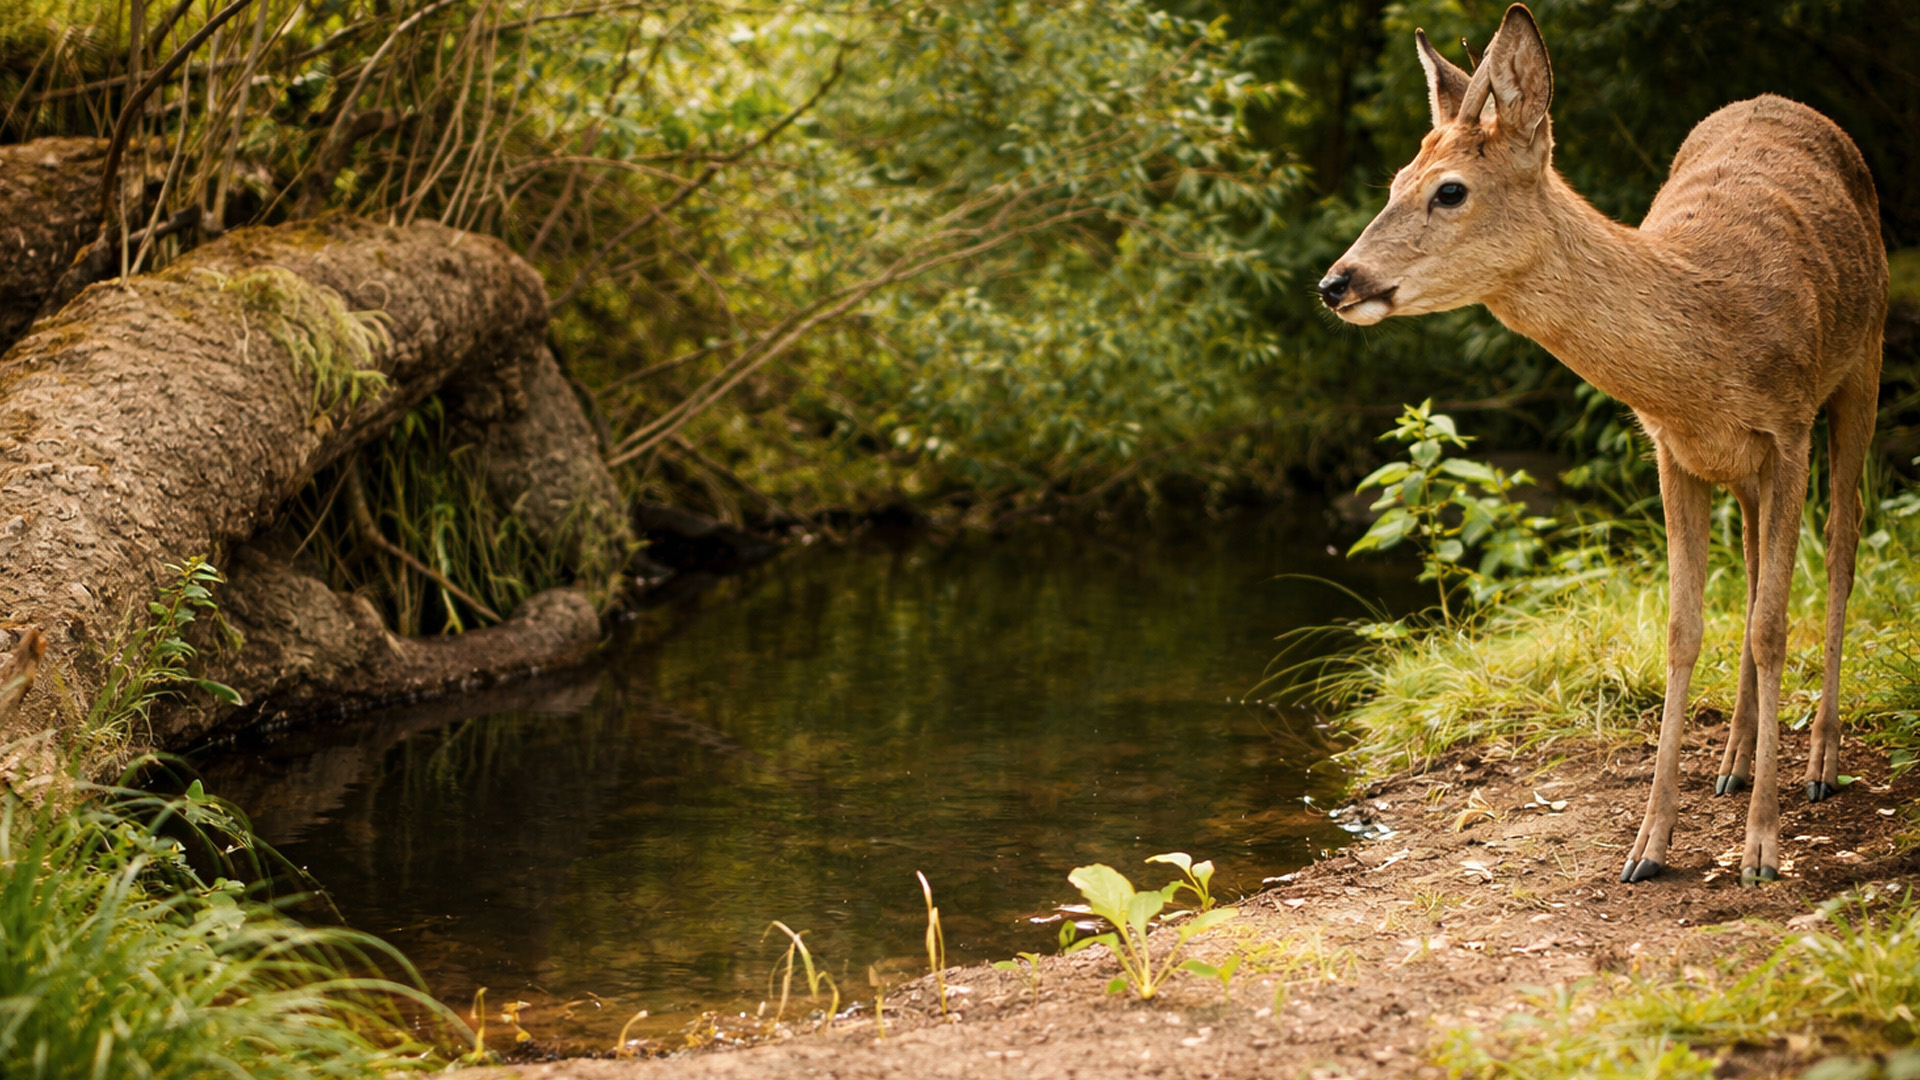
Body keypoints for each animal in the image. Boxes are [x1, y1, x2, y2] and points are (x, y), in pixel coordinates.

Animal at [1318, 4, 1886, 886]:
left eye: (1450, 190)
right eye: (1392, 184)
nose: (1335, 282)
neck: (1708, 345)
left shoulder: (1788, 428)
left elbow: (1769, 624)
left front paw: (1761, 848)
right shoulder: (1673, 447)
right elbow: (1686, 627)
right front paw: (1649, 846)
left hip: (1867, 355)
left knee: (1844, 538)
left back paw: (1820, 762)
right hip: (1747, 469)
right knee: (1757, 557)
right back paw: (1733, 762)